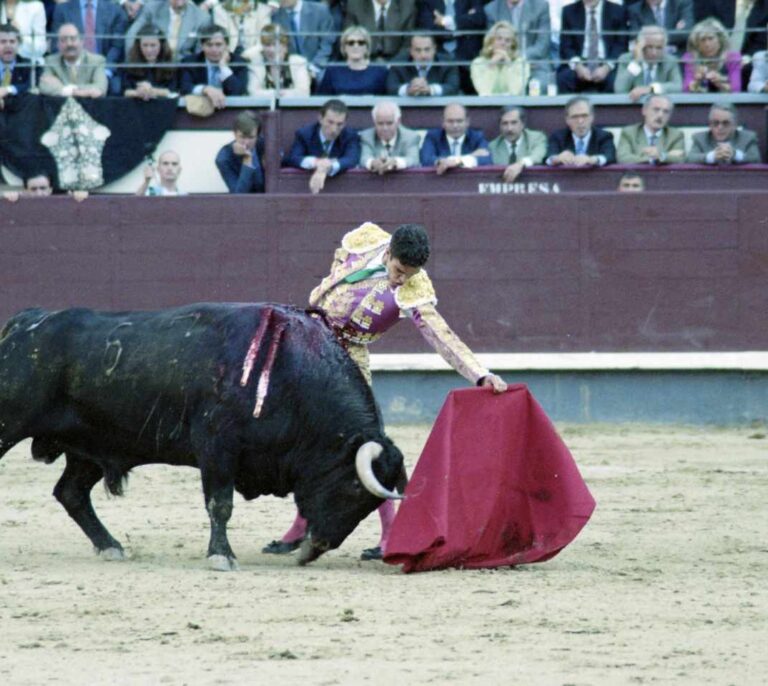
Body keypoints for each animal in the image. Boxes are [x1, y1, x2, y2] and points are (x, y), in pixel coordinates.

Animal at [0, 306, 404, 568]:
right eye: (353, 488)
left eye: (369, 505)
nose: (315, 548)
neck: (289, 372)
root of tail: (22, 323)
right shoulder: (216, 447)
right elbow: (219, 503)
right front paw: (221, 556)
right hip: (11, 424)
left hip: (91, 447)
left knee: (71, 493)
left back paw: (110, 546)